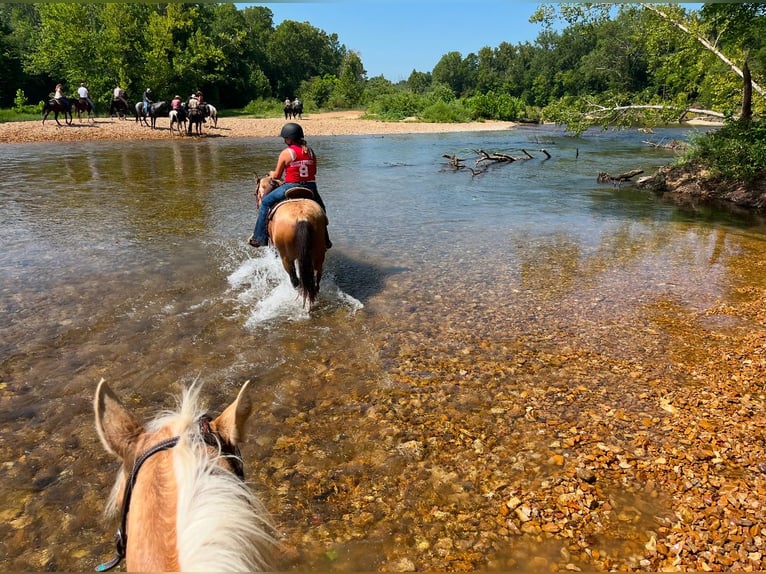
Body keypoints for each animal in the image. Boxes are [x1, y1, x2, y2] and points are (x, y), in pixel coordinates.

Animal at [255, 173, 328, 310]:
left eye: (255, 192)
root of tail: (302, 218)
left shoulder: (273, 246)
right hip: (318, 255)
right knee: (315, 279)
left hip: (286, 258)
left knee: (295, 280)